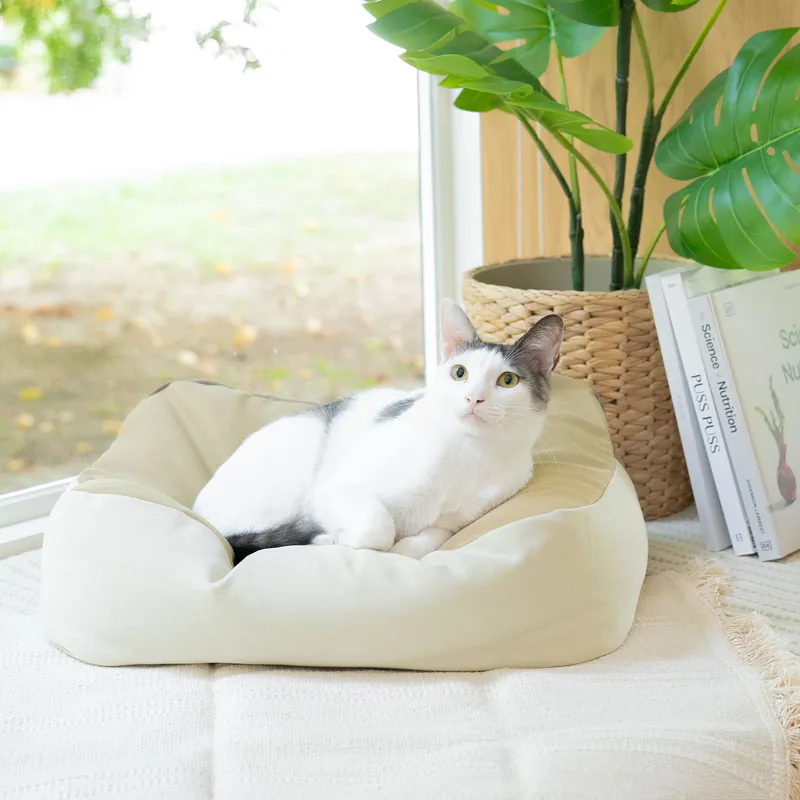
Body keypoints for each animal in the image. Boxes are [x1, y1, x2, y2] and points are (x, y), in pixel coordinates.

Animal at [192, 299, 563, 563]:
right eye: (460, 373)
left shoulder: (453, 521)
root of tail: (198, 512)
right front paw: (340, 539)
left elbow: (427, 540)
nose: (474, 398)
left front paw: (402, 549)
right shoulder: (333, 491)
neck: (470, 453)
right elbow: (378, 528)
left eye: (508, 380)